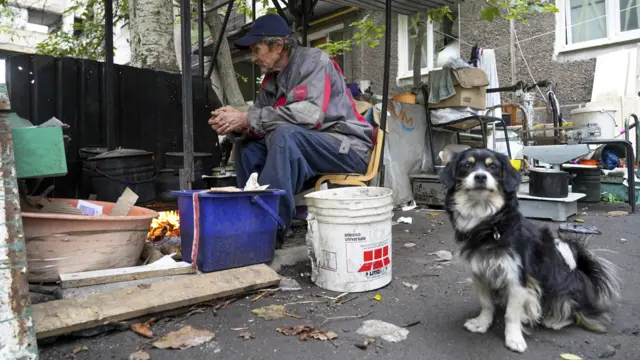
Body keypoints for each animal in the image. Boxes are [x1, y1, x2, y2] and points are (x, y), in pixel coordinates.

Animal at [440, 148, 620, 352]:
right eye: (466, 165)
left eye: (492, 167)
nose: (480, 176)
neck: (490, 224)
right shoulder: (480, 273)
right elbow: (486, 304)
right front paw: (482, 323)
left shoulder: (517, 276)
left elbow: (511, 314)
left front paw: (513, 338)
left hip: (560, 284)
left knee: (571, 311)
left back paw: (554, 320)